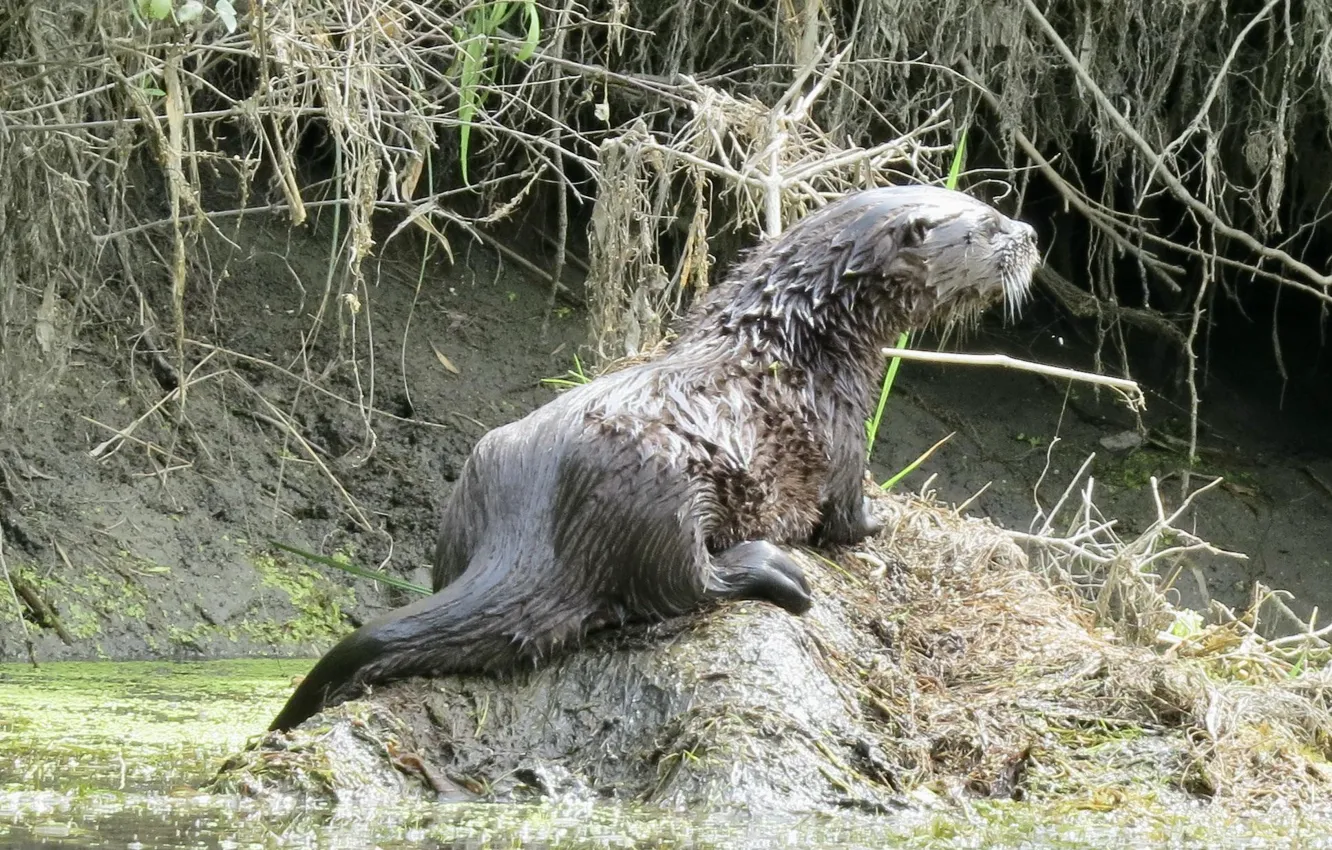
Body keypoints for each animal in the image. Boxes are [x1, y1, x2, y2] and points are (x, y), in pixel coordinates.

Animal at [268, 184, 1040, 732]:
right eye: (988, 224)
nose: (1032, 234)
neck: (805, 338)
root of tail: (531, 520)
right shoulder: (845, 432)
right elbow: (847, 518)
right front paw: (885, 525)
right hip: (661, 492)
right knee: (679, 589)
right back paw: (768, 569)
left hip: (479, 478)